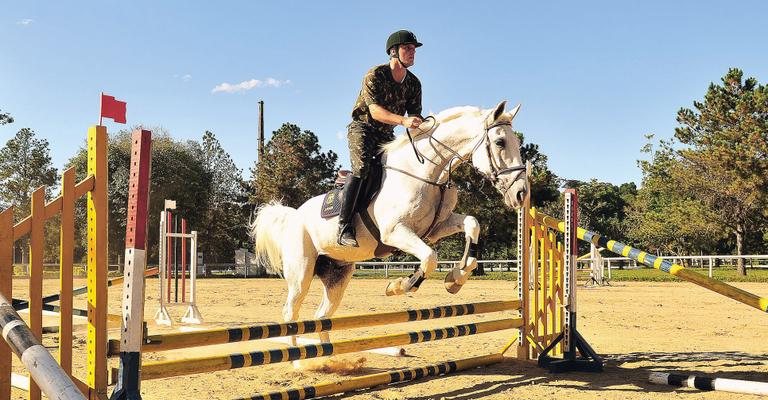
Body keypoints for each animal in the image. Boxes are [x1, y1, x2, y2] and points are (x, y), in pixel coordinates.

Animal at [252, 100, 528, 344]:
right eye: (500, 142)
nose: (521, 194)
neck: (427, 173)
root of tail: (293, 216)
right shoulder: (395, 233)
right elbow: (430, 258)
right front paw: (399, 286)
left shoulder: (437, 227)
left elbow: (472, 224)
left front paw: (456, 278)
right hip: (301, 272)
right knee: (291, 312)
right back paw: (299, 363)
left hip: (338, 274)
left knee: (322, 315)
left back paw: (326, 360)